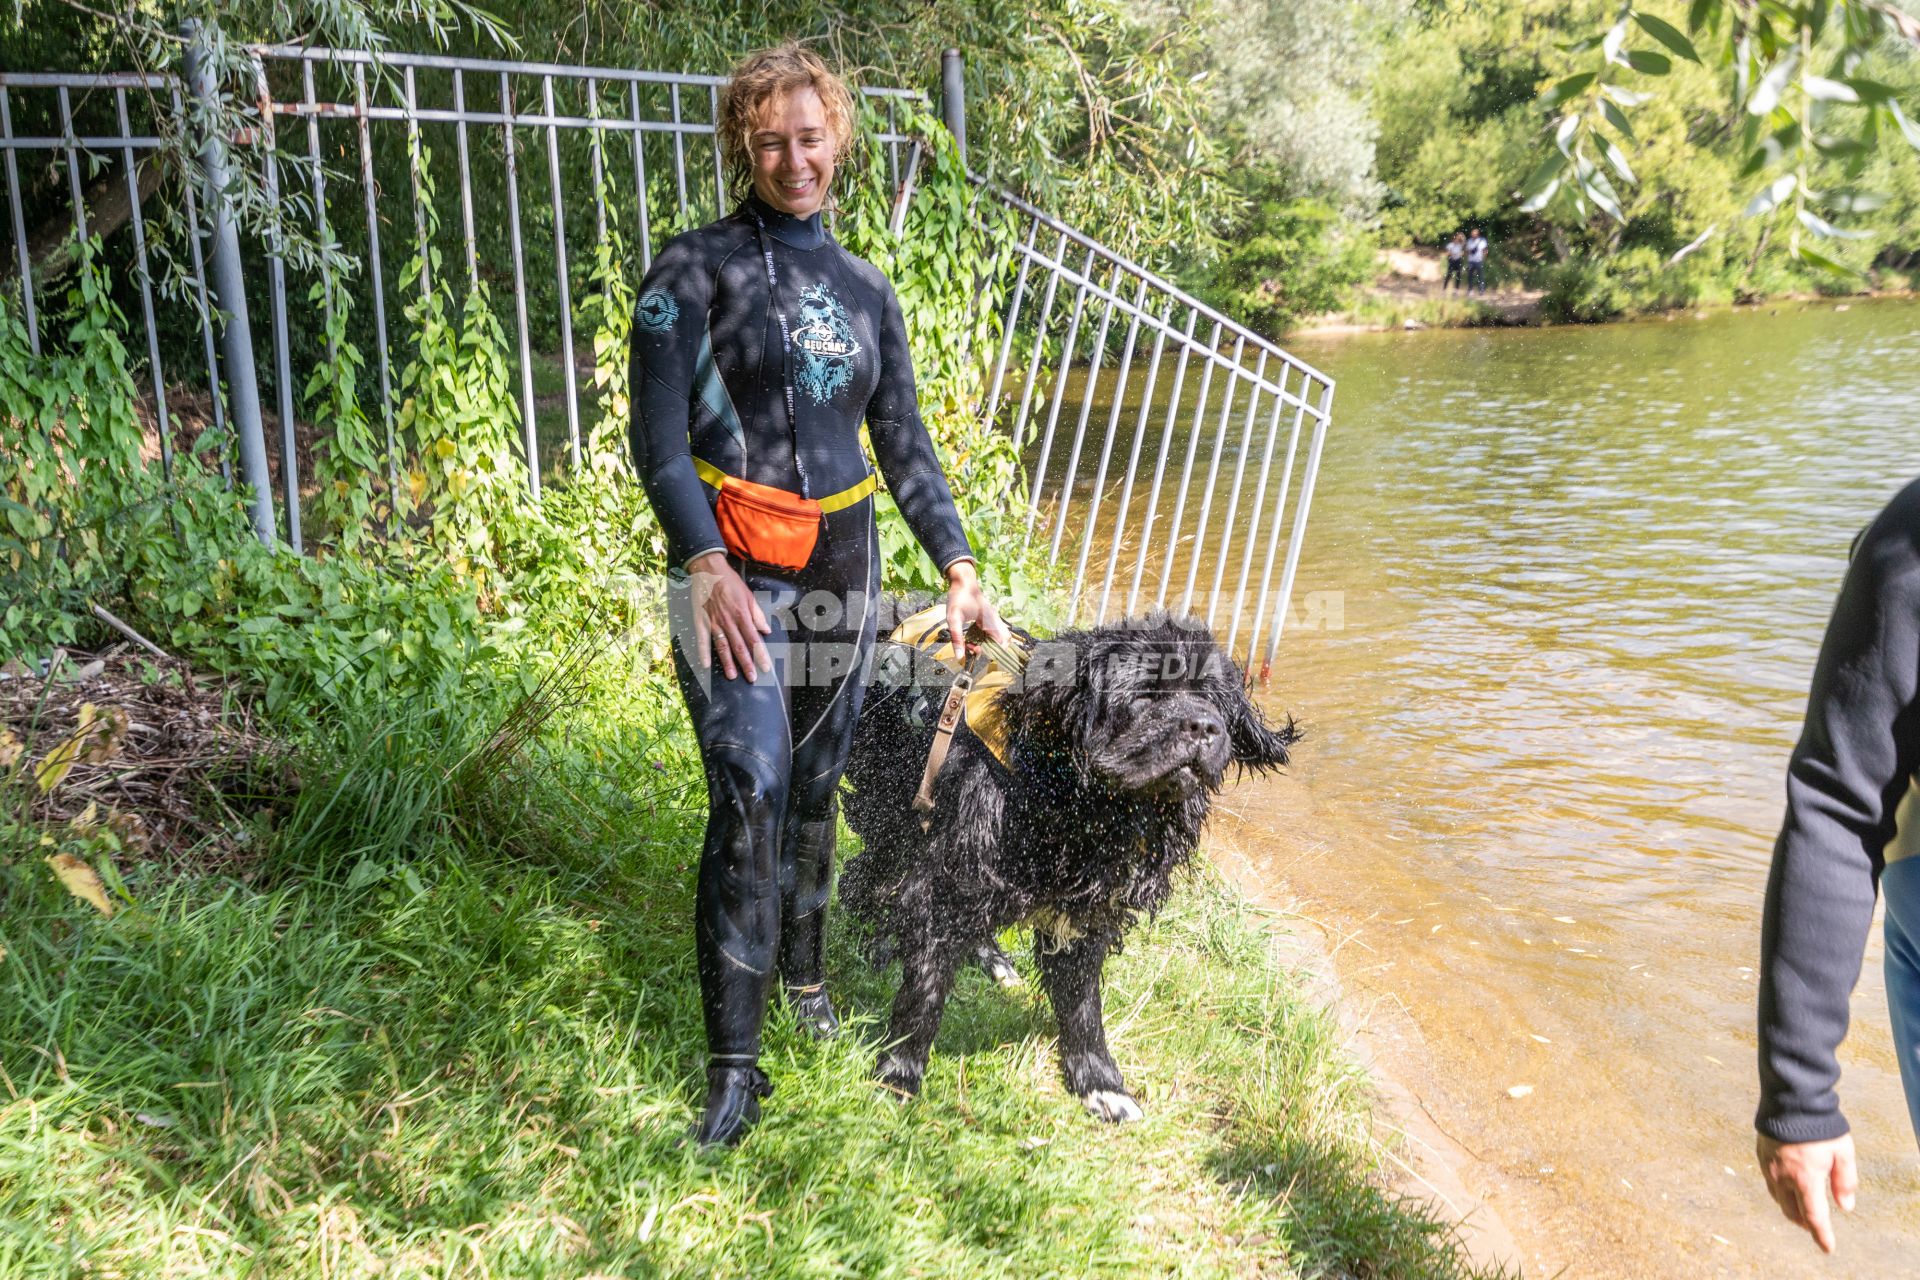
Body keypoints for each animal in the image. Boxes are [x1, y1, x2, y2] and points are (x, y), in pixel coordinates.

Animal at [837, 610, 1297, 1120]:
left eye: (1216, 701)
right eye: (1144, 695)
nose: (1204, 726)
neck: (1087, 804)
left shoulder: (1085, 911)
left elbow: (1081, 1005)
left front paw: (1101, 1083)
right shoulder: (953, 875)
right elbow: (925, 990)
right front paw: (897, 1075)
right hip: (895, 812)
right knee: (866, 877)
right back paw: (880, 943)